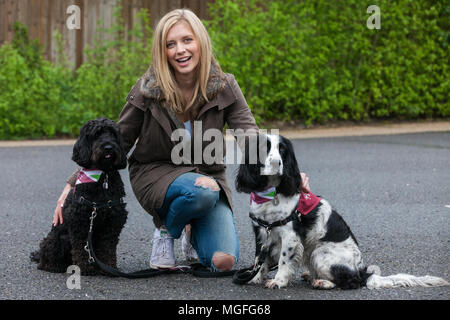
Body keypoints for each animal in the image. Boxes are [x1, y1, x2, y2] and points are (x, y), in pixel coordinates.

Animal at [30, 117, 127, 276]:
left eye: (113, 134)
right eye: (96, 134)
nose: (108, 147)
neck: (102, 177)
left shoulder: (113, 221)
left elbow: (108, 247)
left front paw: (109, 267)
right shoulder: (80, 222)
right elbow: (81, 248)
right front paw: (84, 268)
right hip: (58, 238)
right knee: (45, 258)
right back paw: (54, 266)